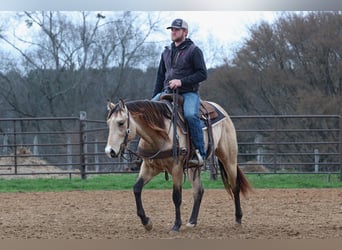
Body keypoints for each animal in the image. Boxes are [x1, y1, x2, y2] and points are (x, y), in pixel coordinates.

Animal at [104, 98, 251, 232]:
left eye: (121, 122)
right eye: (108, 123)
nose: (109, 151)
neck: (161, 135)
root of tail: (221, 110)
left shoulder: (176, 168)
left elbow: (176, 196)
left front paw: (176, 225)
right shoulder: (149, 167)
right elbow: (137, 189)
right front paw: (146, 222)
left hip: (229, 158)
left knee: (235, 187)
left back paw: (238, 219)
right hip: (193, 167)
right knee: (198, 191)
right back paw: (192, 221)